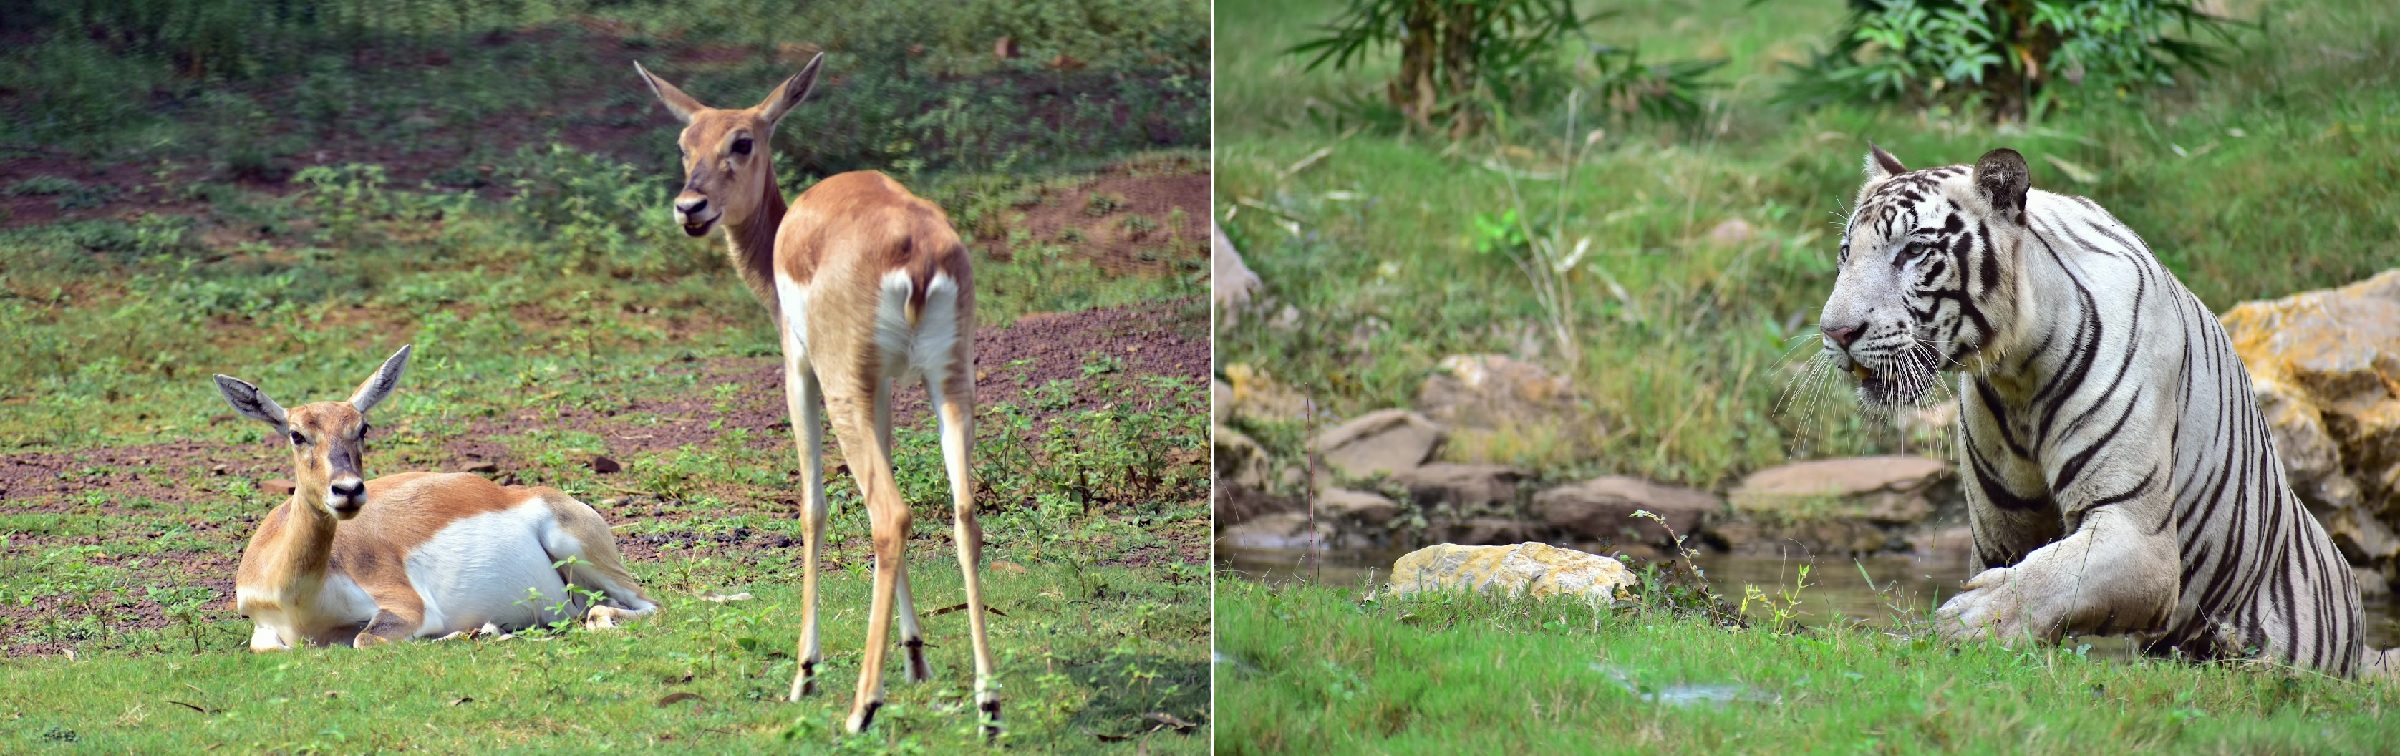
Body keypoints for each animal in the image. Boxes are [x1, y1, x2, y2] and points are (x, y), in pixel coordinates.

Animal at [206, 348, 652, 652]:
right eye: (296, 434)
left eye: (362, 427)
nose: (348, 490)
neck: (299, 598)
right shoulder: (264, 628)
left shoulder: (407, 607)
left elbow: (367, 640)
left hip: (579, 551)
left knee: (640, 607)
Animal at [633, 54, 998, 739]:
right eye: (684, 142)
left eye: (742, 141)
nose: (690, 206)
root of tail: (917, 250)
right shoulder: (883, 385)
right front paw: (916, 657)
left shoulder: (798, 368)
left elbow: (812, 507)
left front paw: (805, 672)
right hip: (949, 381)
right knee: (963, 512)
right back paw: (989, 705)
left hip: (841, 385)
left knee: (890, 513)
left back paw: (861, 707)